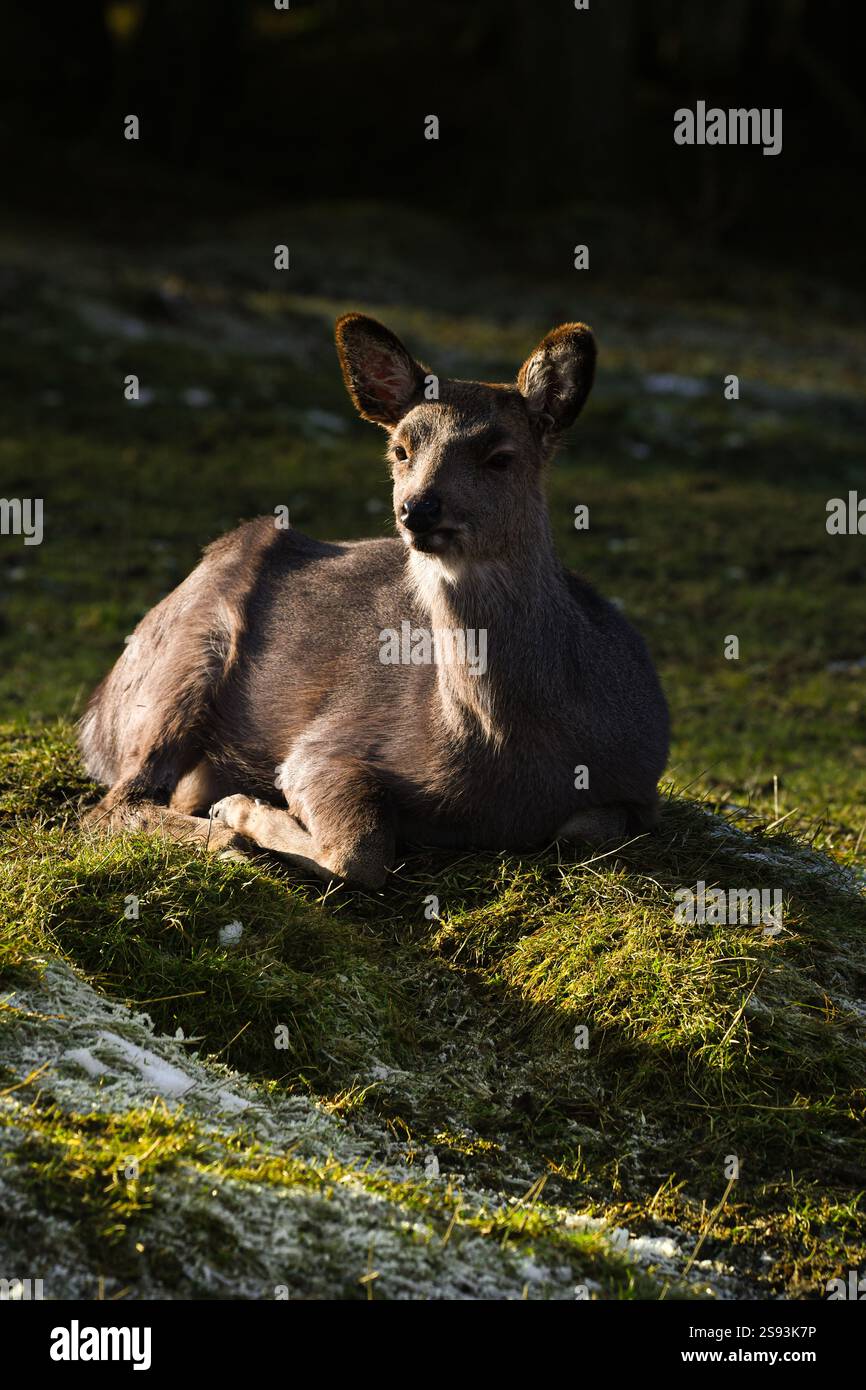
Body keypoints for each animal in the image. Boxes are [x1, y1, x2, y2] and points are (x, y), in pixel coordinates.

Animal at [79, 314, 669, 888]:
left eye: (501, 457)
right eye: (401, 450)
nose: (419, 509)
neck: (510, 749)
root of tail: (95, 714)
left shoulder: (642, 780)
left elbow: (588, 830)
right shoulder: (329, 743)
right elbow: (359, 850)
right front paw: (243, 811)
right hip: (182, 661)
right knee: (111, 805)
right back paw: (227, 836)